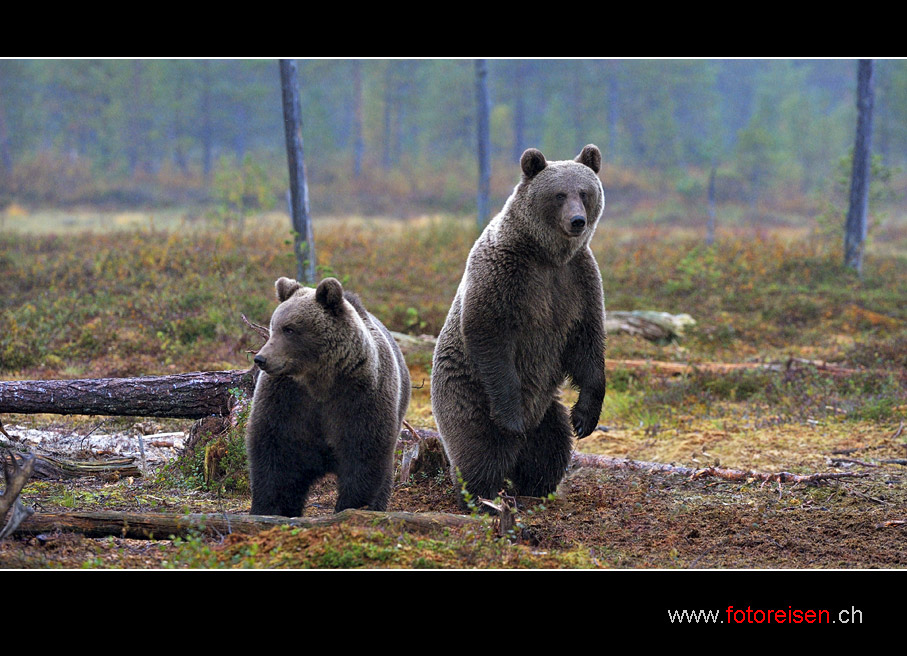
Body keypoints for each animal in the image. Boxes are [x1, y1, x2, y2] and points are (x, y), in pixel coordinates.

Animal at [243, 276, 410, 516]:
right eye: (273, 326)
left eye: (289, 329)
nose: (261, 359)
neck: (319, 379)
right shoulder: (287, 399)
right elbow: (276, 453)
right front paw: (270, 508)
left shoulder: (359, 397)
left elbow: (363, 454)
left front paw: (350, 507)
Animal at [430, 144, 608, 502]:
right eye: (559, 194)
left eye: (584, 192)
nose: (577, 221)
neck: (547, 255)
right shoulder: (505, 273)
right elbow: (489, 334)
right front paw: (512, 419)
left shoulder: (578, 281)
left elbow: (587, 341)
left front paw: (585, 418)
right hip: (468, 395)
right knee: (479, 450)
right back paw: (483, 495)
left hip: (546, 409)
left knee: (551, 444)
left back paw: (537, 486)